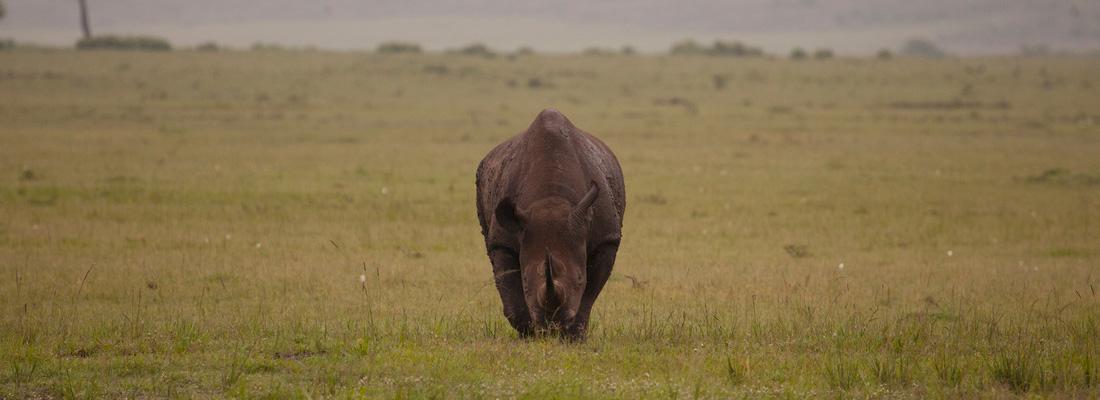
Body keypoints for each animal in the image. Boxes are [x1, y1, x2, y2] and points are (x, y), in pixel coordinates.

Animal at [475, 107, 624, 338]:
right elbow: (509, 289)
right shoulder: (502, 240)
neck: (551, 200)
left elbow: (589, 295)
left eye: (580, 279)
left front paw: (573, 336)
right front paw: (528, 334)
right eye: (526, 283)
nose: (552, 325)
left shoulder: (606, 239)